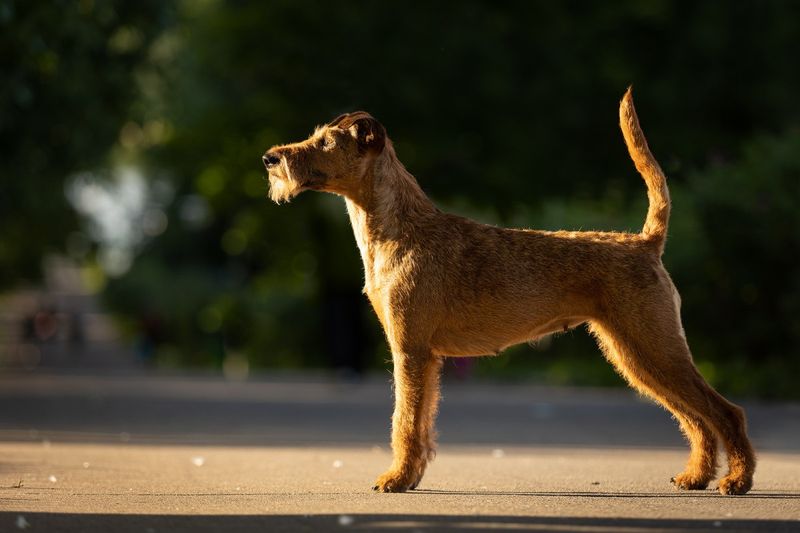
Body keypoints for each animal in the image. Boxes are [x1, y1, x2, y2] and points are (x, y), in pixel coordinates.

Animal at [262, 88, 756, 494]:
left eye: (326, 142)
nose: (269, 158)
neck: (398, 229)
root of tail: (646, 243)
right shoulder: (426, 356)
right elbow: (421, 423)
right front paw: (411, 476)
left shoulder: (410, 349)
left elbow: (403, 421)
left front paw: (395, 480)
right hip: (634, 353)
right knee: (695, 417)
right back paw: (696, 477)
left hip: (652, 344)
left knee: (724, 411)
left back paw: (736, 481)